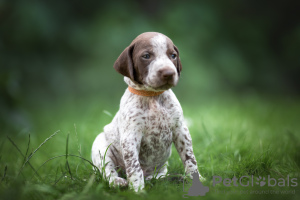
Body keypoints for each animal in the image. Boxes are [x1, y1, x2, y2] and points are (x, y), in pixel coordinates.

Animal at [91, 32, 204, 191]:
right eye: (146, 56)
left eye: (173, 55)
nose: (169, 73)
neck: (152, 96)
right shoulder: (131, 137)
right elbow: (134, 166)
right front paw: (137, 190)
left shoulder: (181, 130)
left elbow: (190, 159)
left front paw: (197, 180)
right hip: (100, 147)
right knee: (108, 171)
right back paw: (118, 181)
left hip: (161, 169)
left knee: (159, 177)